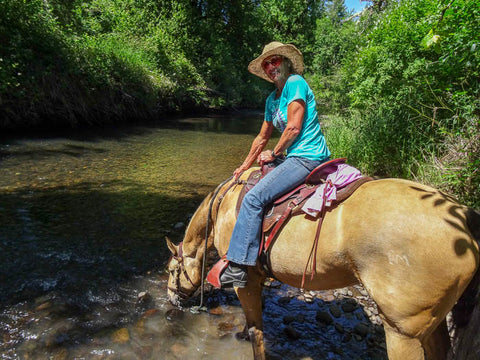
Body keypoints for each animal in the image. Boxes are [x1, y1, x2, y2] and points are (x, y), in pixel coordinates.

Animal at [166, 169, 480, 360]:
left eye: (171, 271)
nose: (170, 299)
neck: (223, 205)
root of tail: (462, 216)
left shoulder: (246, 278)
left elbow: (257, 330)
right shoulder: (257, 278)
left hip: (403, 333)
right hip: (432, 324)